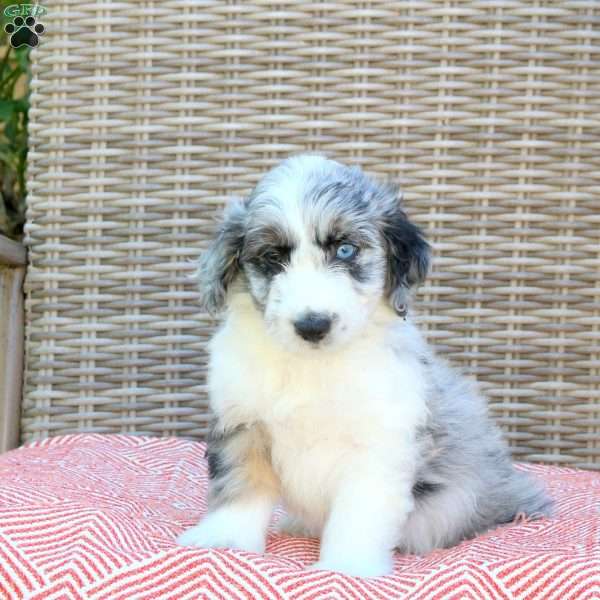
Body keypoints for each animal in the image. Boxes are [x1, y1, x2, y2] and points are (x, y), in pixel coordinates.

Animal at [178, 155, 552, 576]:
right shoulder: (244, 423)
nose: (312, 325)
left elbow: (358, 514)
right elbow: (241, 484)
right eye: (273, 257)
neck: (313, 368)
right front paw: (225, 539)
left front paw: (346, 566)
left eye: (344, 250)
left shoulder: (379, 446)